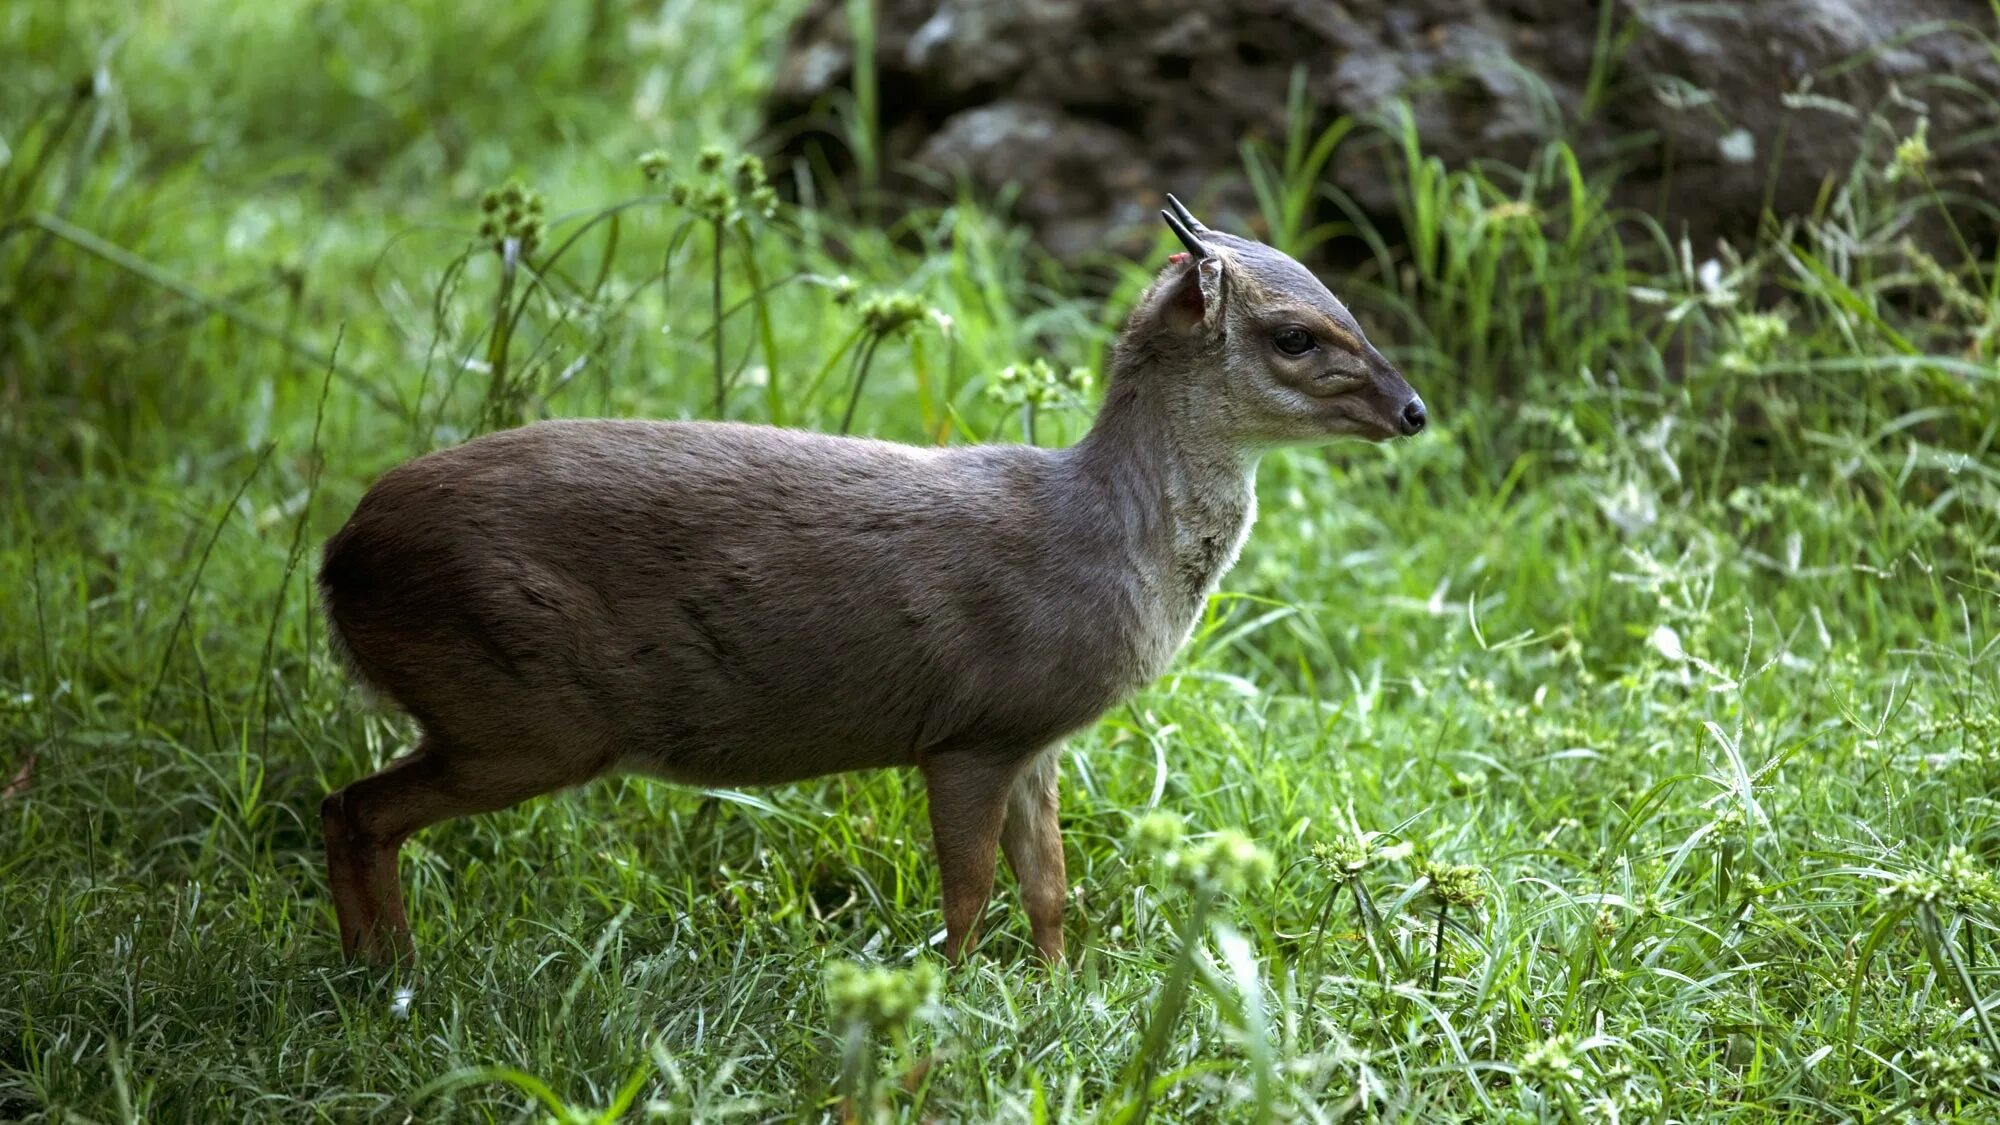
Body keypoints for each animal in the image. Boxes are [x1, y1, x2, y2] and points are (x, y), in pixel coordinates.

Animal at [320, 197, 1432, 960]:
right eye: (1295, 334)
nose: (1414, 411)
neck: (1104, 541)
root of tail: (339, 560)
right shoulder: (970, 732)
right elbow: (967, 892)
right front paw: (951, 998)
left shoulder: (1035, 738)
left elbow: (1049, 886)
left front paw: (1058, 991)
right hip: (520, 709)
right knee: (354, 809)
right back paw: (392, 976)